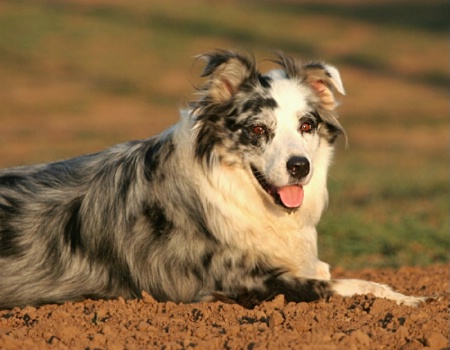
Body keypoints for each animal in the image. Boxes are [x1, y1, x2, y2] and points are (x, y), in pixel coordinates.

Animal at [0, 50, 424, 308]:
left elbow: (327, 272)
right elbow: (343, 285)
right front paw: (408, 299)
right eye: (257, 130)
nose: (300, 167)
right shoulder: (236, 281)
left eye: (307, 125)